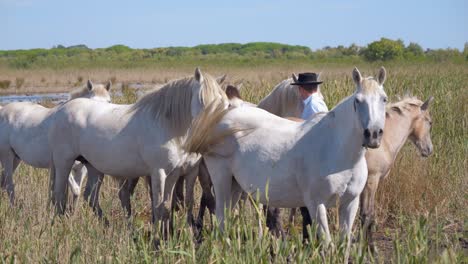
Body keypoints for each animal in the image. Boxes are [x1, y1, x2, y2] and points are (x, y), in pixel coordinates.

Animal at [48, 68, 229, 235]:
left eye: (225, 104)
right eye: (202, 99)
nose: (214, 134)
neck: (166, 125)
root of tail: (62, 109)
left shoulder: (175, 173)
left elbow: (168, 206)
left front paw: (168, 236)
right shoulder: (158, 172)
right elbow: (158, 207)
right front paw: (158, 239)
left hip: (93, 167)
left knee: (90, 197)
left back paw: (110, 227)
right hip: (64, 163)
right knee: (59, 196)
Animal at [185, 66, 390, 260]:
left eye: (384, 99)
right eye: (358, 100)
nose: (373, 134)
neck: (337, 149)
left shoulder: (350, 203)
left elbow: (343, 246)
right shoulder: (316, 204)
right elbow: (328, 246)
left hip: (236, 185)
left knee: (227, 220)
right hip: (221, 179)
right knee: (220, 218)